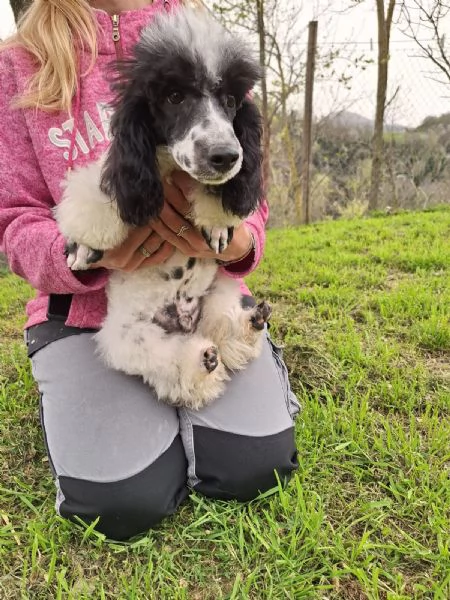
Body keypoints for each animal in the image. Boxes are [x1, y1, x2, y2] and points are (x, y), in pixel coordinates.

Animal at [56, 7, 270, 408]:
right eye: (174, 96)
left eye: (231, 100)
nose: (226, 157)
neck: (169, 168)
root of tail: (184, 320)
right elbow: (95, 200)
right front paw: (84, 247)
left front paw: (217, 223)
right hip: (128, 336)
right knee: (168, 361)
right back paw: (202, 362)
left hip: (219, 291)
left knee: (222, 329)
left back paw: (247, 326)